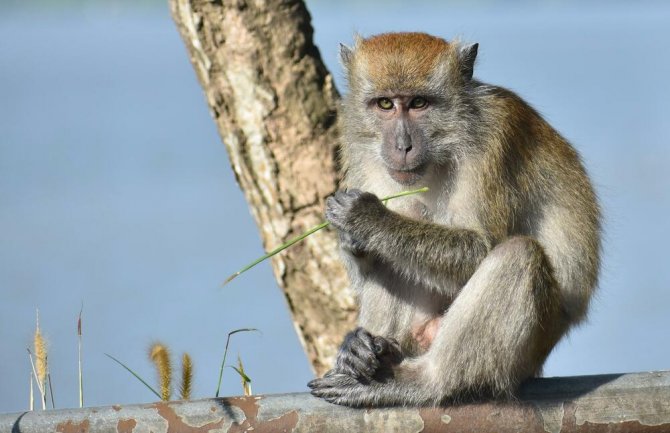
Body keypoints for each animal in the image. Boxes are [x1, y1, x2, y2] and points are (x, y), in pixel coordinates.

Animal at [310, 33, 604, 404]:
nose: (402, 145)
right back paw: (369, 350)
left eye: (419, 103)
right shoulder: (361, 152)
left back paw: (418, 381)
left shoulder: (495, 141)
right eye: (385, 105)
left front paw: (366, 219)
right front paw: (351, 240)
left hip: (529, 349)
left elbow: (483, 246)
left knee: (518, 255)